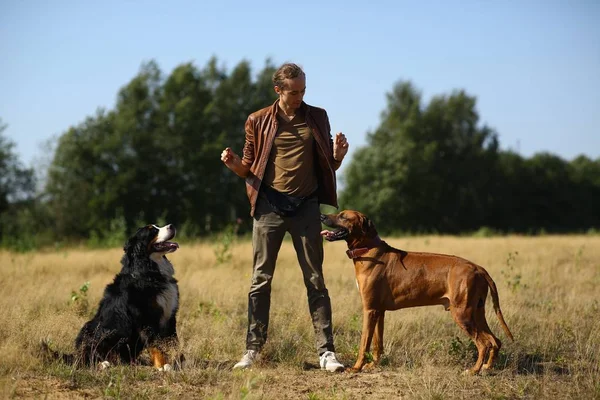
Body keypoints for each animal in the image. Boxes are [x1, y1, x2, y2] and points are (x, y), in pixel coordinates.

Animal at [41, 223, 180, 370]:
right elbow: (156, 345)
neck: (148, 271)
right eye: (152, 230)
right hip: (90, 330)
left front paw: (177, 362)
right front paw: (162, 366)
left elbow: (174, 343)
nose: (172, 225)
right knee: (84, 359)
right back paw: (103, 364)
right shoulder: (146, 318)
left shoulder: (169, 316)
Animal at [322, 211, 512, 374]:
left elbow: (364, 344)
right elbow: (377, 343)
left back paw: (474, 371)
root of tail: (478, 268)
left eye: (343, 216)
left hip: (462, 314)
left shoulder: (369, 310)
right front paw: (373, 365)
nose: (322, 215)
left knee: (483, 344)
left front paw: (356, 367)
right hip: (477, 312)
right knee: (495, 341)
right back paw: (487, 367)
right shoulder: (379, 311)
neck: (368, 248)